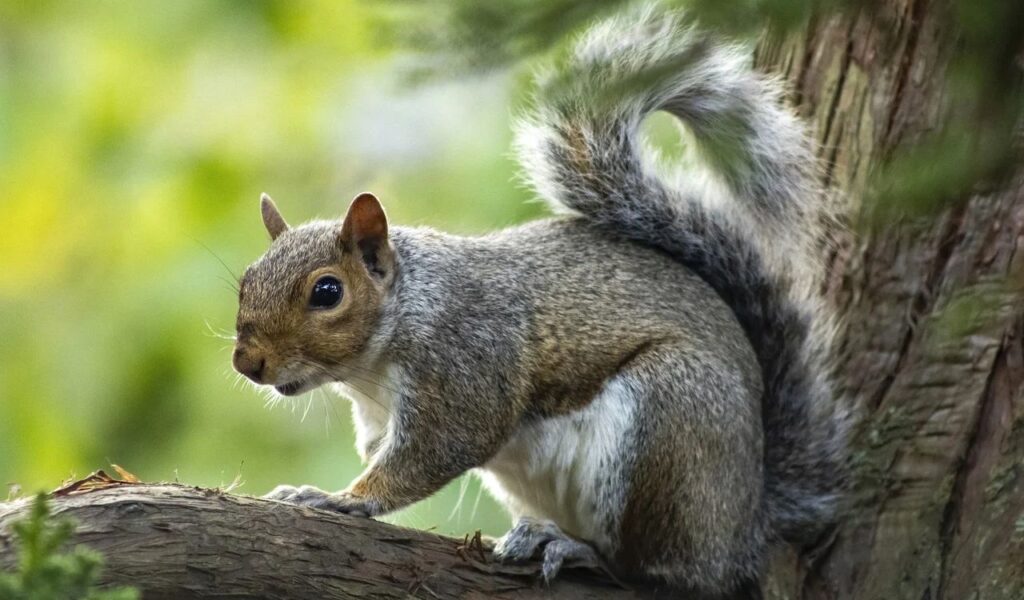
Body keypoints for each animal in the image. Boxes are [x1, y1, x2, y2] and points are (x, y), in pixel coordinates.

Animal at [232, 6, 846, 597]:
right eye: (245, 281)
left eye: (327, 291)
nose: (247, 362)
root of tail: (746, 526)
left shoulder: (469, 364)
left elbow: (435, 452)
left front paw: (343, 497)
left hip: (672, 429)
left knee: (661, 571)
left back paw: (579, 551)